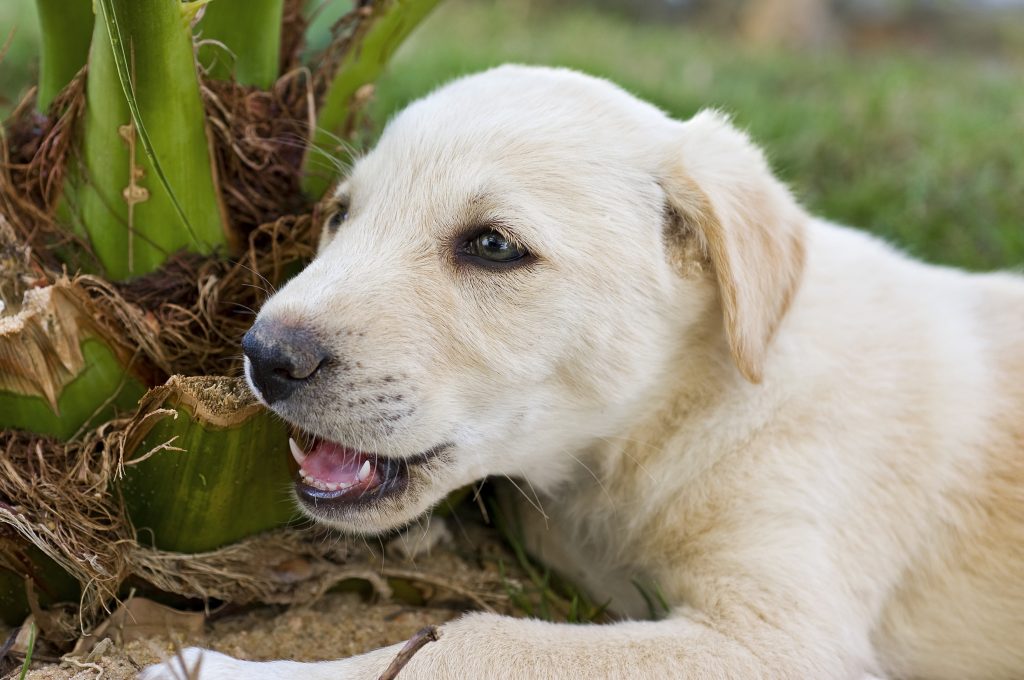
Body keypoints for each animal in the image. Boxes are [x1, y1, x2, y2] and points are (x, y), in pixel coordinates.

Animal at [142, 65, 1024, 680]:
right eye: (340, 216)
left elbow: (470, 643)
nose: (264, 354)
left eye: (492, 246)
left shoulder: (781, 642)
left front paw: (223, 670)